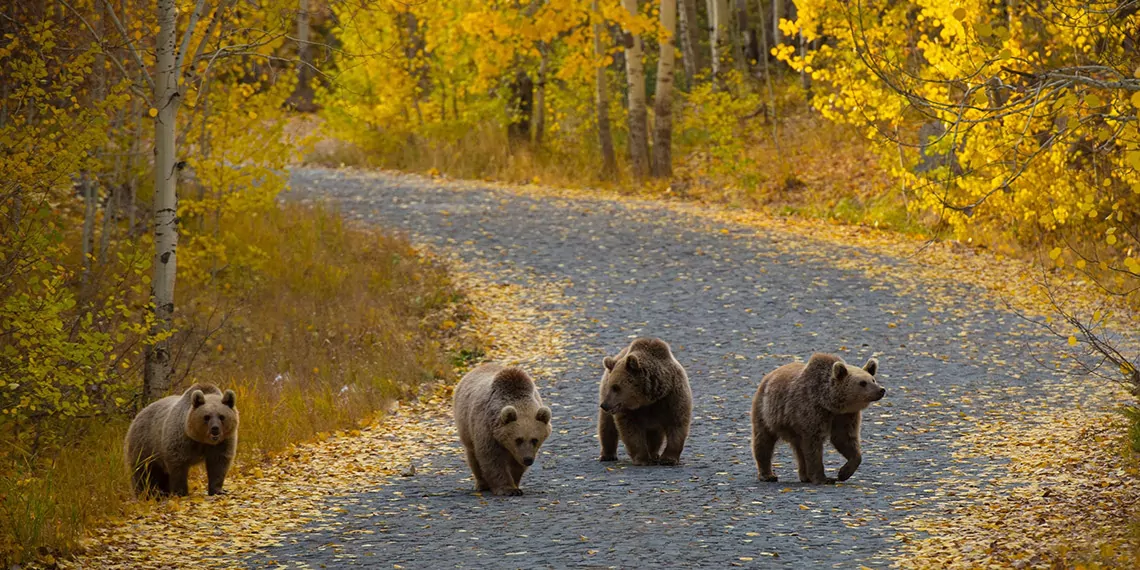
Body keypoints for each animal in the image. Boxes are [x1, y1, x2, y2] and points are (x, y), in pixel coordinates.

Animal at [449, 364, 551, 494]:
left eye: (535, 439)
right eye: (518, 439)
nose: (528, 460)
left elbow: (516, 465)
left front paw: (515, 484)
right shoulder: (487, 428)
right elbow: (492, 459)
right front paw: (508, 489)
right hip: (466, 425)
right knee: (473, 456)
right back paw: (481, 484)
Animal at [597, 335, 693, 465]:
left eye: (616, 387)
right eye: (611, 386)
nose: (605, 405)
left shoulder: (672, 397)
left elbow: (677, 424)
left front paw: (668, 459)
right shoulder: (629, 410)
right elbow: (630, 430)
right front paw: (642, 459)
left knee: (655, 434)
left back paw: (654, 454)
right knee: (606, 426)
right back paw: (608, 455)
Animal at [752, 351, 884, 485]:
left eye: (873, 379)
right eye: (862, 383)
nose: (881, 390)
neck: (830, 403)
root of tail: (769, 375)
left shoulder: (845, 416)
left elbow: (845, 438)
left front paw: (844, 473)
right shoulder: (812, 410)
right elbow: (814, 445)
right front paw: (824, 478)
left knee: (799, 448)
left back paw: (805, 476)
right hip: (766, 411)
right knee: (764, 440)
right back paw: (768, 475)